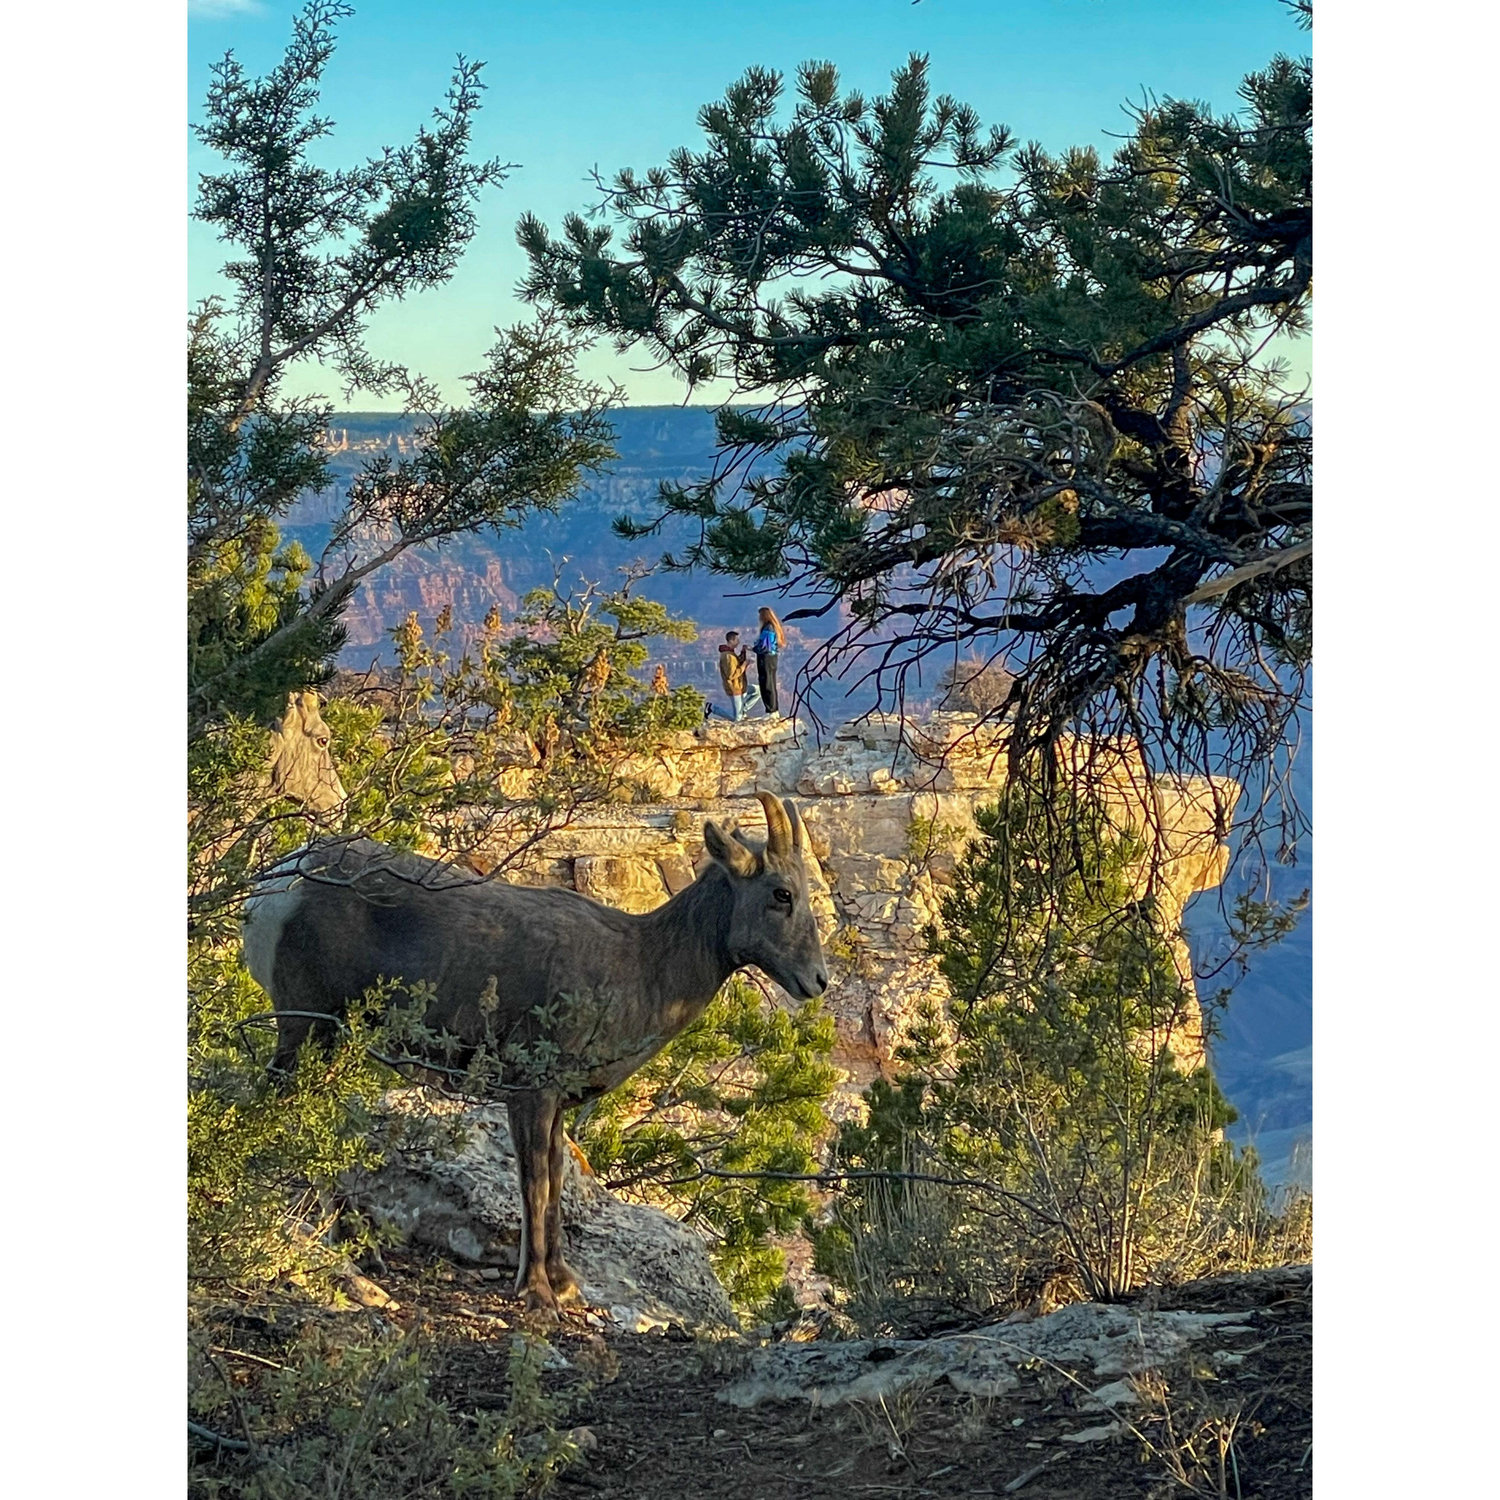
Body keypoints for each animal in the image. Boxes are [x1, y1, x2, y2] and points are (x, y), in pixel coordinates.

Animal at [241, 791, 828, 1311]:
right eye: (781, 893)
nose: (817, 981)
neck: (641, 965)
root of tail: (280, 884)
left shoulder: (558, 1104)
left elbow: (556, 1181)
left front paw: (564, 1286)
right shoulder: (529, 1092)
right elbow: (535, 1182)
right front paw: (539, 1296)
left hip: (327, 1039)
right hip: (304, 1027)